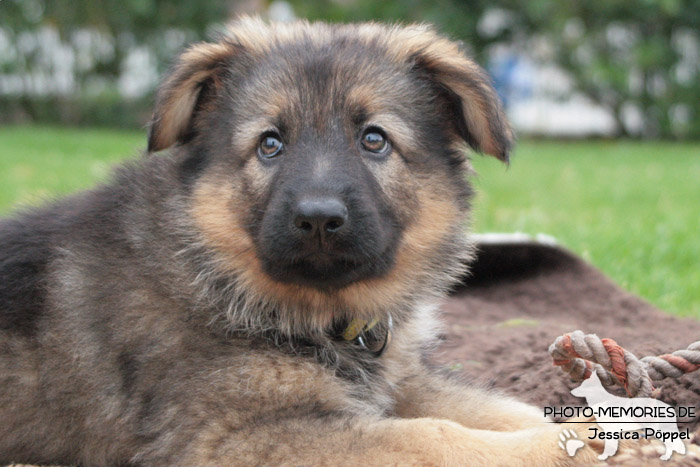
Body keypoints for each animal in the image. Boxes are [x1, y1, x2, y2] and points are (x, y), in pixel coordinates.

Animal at [0, 16, 600, 466]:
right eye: (271, 144)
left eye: (374, 140)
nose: (318, 218)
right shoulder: (236, 435)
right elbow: (433, 435)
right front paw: (574, 448)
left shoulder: (401, 382)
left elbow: (497, 407)